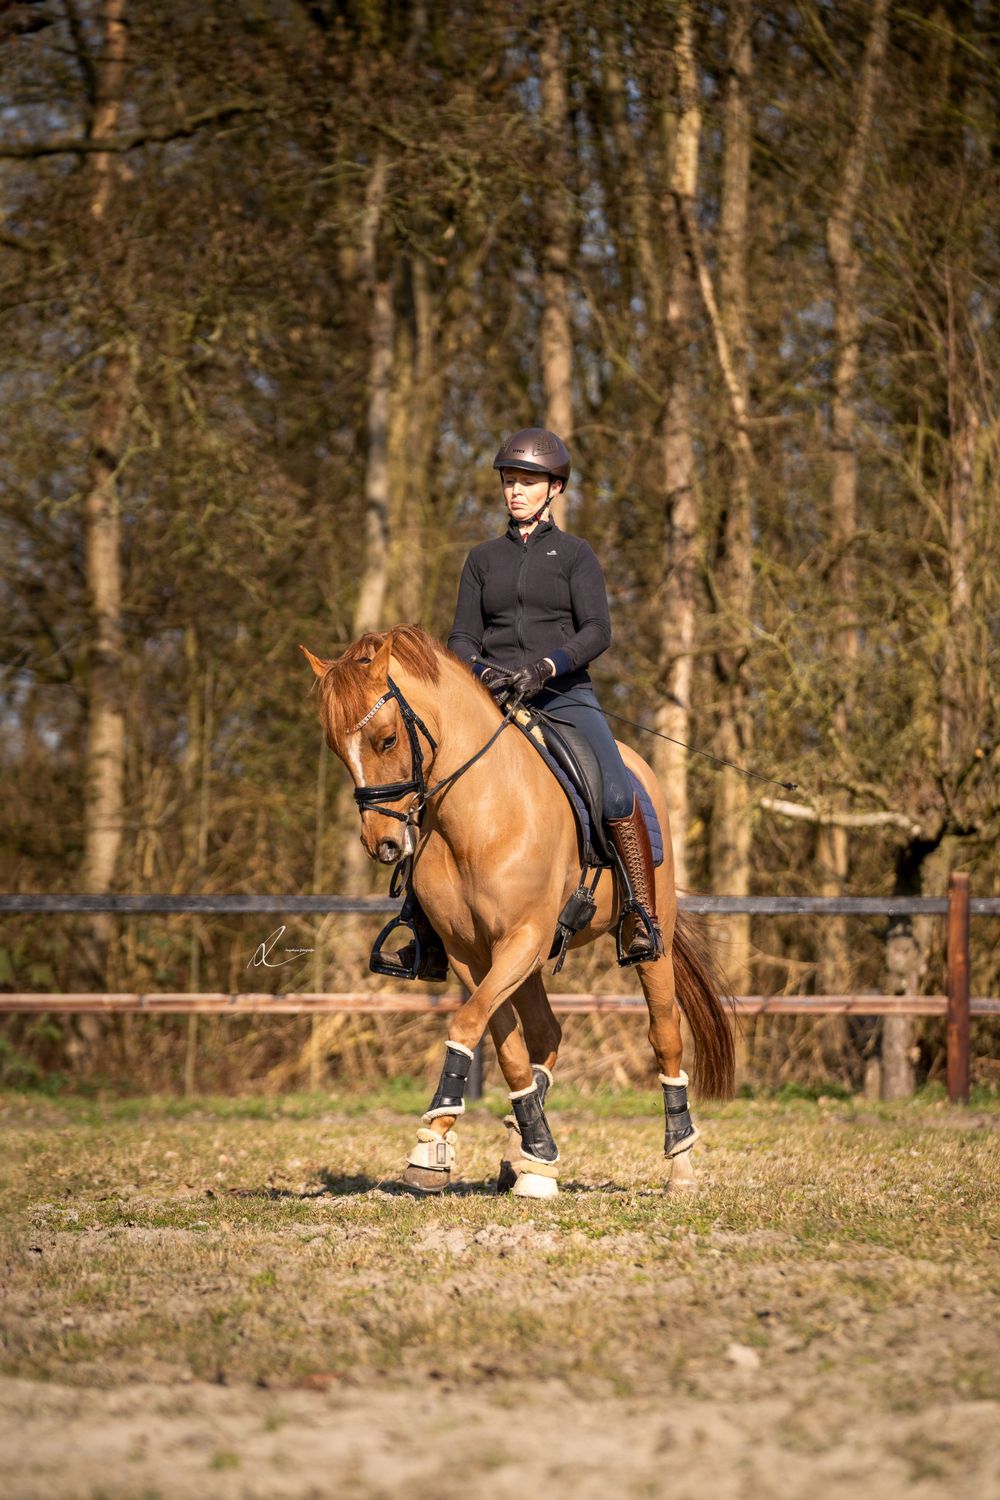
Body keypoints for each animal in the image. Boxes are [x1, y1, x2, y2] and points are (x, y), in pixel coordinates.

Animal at [302, 624, 735, 1197]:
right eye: (336, 747)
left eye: (387, 739)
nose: (384, 844)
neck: (481, 813)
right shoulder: (471, 954)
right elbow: (503, 1045)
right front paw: (518, 1147)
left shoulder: (521, 939)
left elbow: (468, 1023)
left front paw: (436, 1138)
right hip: (528, 961)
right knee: (546, 1035)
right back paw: (525, 1155)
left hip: (645, 945)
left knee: (664, 1034)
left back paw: (680, 1163)